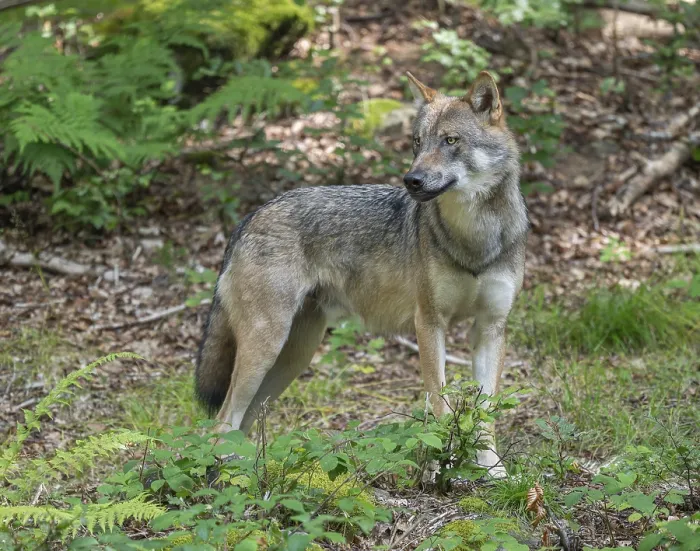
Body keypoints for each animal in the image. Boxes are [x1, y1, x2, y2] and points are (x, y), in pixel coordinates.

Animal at [196, 71, 529, 477]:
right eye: (417, 142)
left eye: (450, 141)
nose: (412, 180)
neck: (476, 239)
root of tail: (249, 216)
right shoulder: (429, 322)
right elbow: (439, 405)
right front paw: (441, 470)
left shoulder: (490, 328)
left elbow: (486, 413)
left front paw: (494, 472)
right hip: (266, 348)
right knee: (222, 422)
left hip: (291, 358)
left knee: (240, 424)